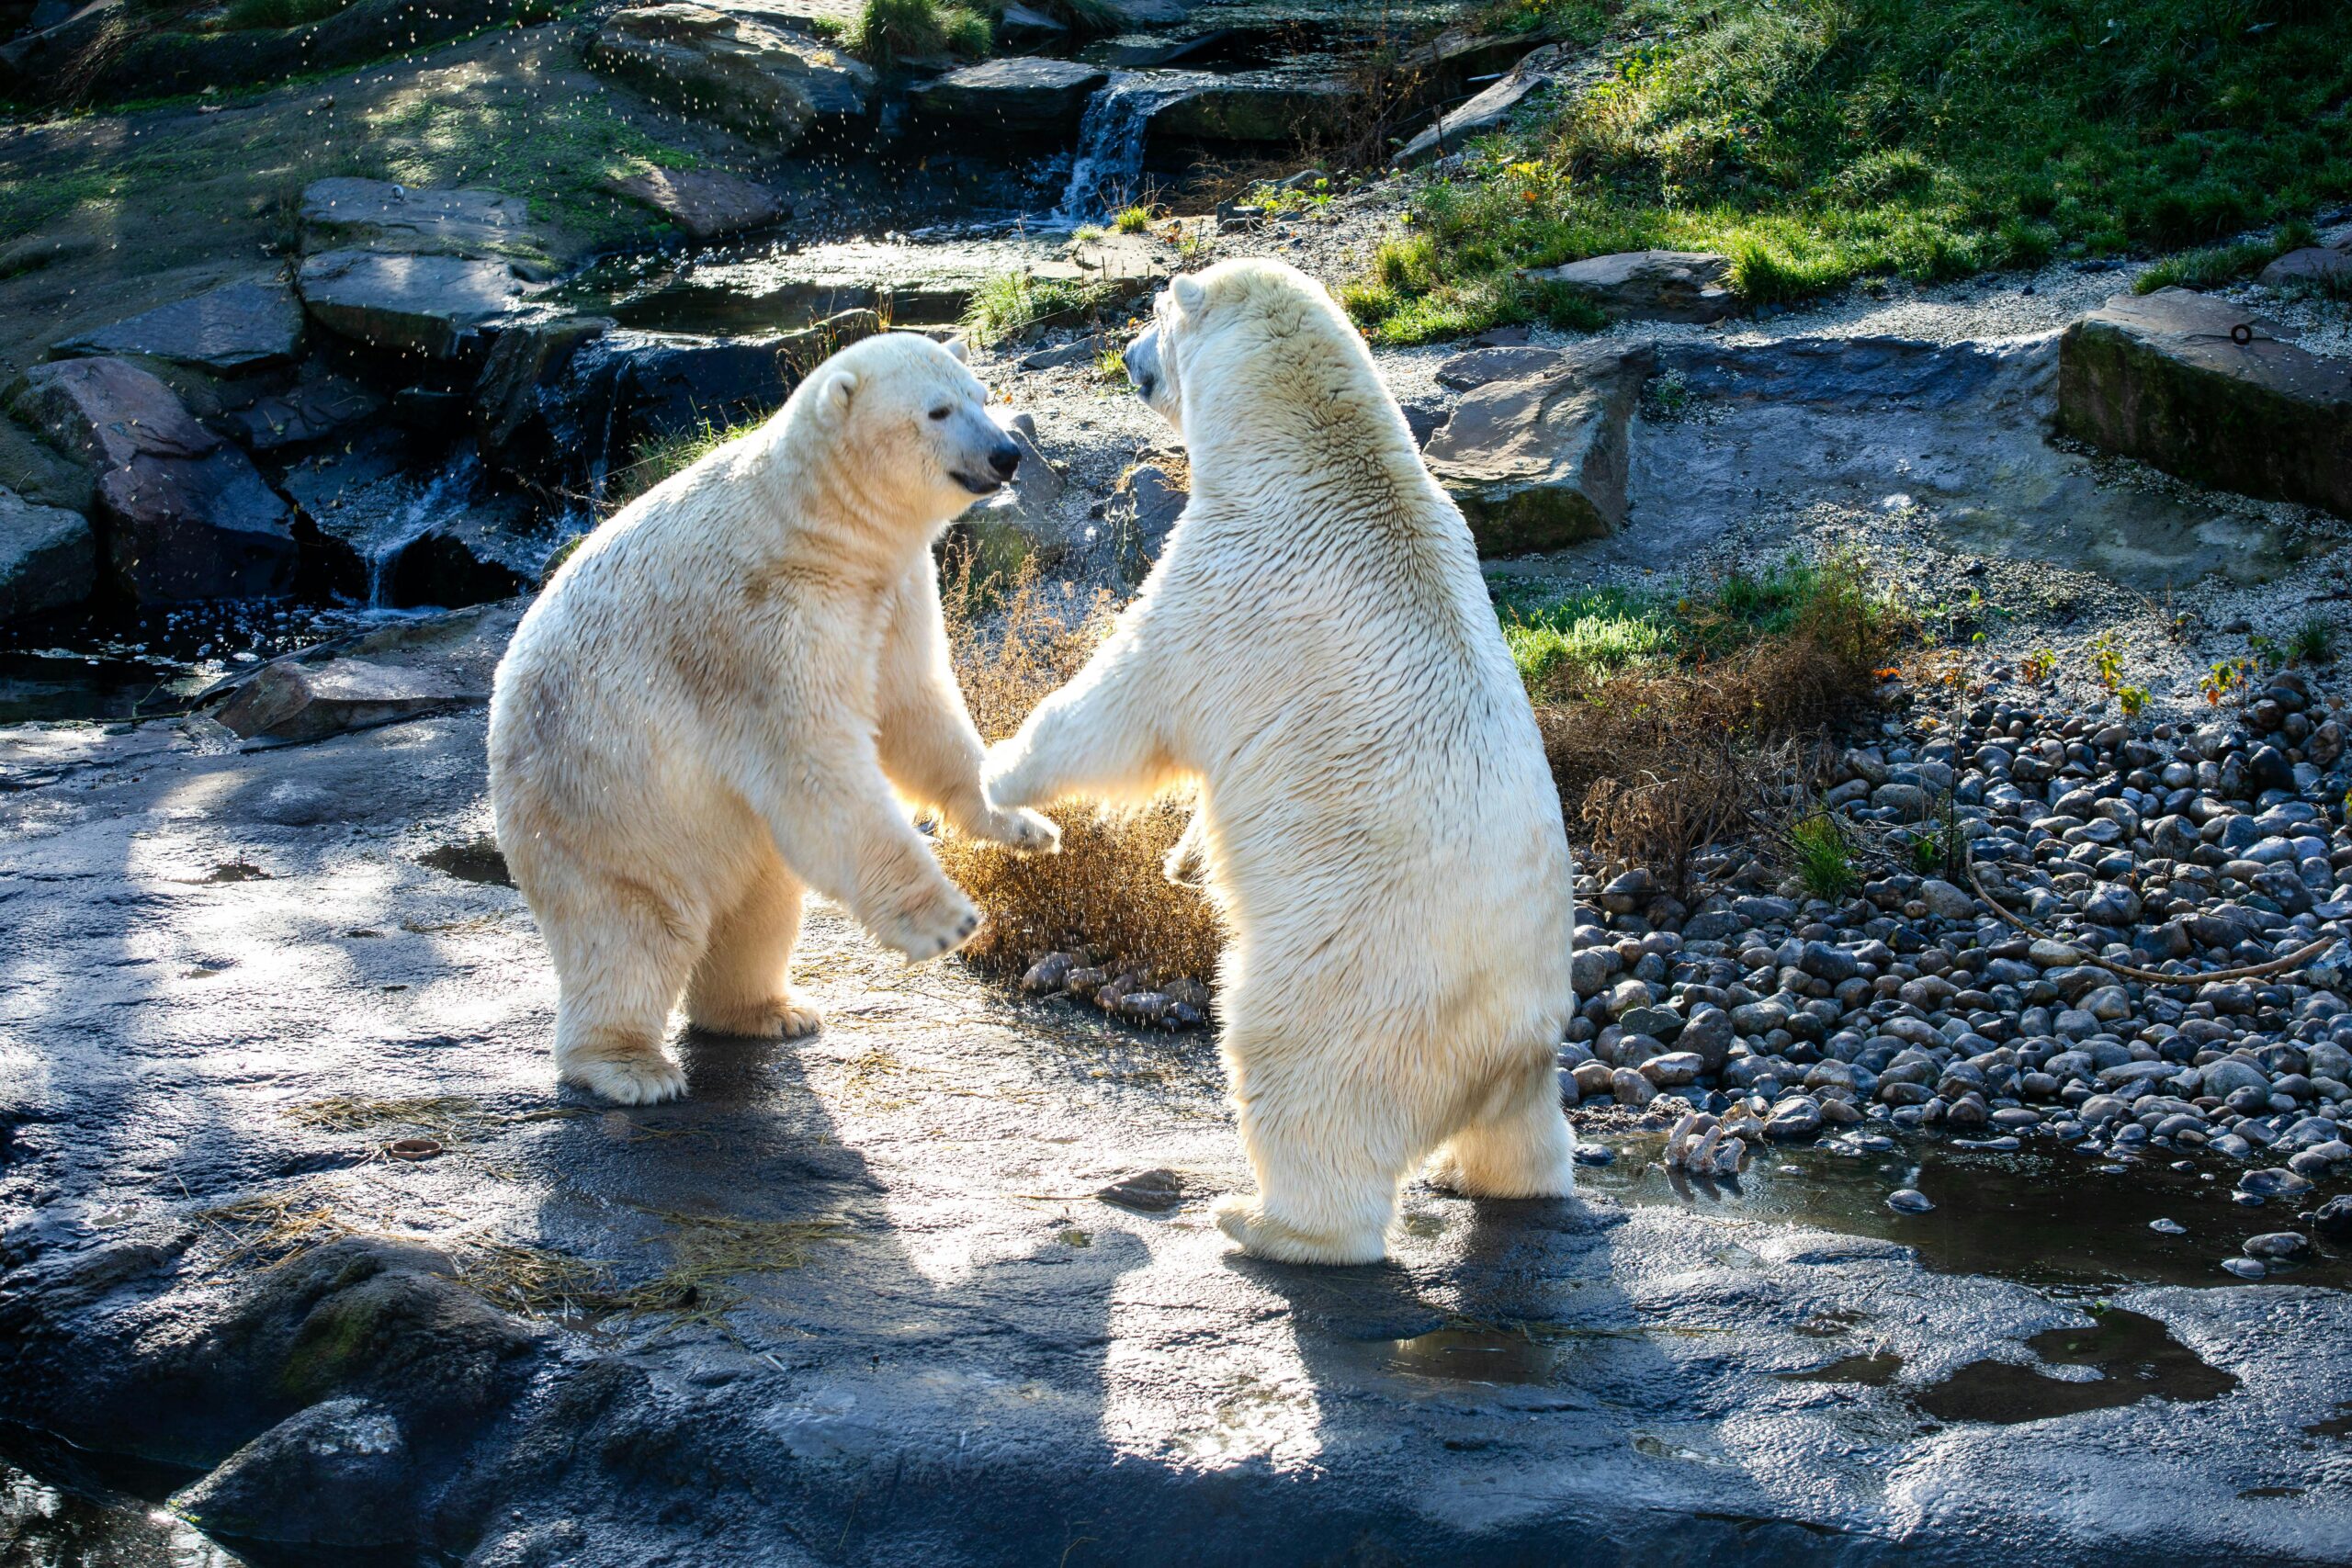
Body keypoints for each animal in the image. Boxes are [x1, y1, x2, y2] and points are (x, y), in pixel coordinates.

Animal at [492, 331, 1063, 1104]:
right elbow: (815, 762)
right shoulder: (763, 627)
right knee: (632, 929)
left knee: (760, 912)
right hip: (598, 803)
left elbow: (915, 709)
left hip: (716, 834)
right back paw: (632, 1065)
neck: (814, 523)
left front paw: (1026, 823)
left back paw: (771, 1011)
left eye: (980, 394)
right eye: (938, 410)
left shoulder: (892, 590)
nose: (1007, 453)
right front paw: (947, 919)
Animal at [983, 257, 1571, 1259]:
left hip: (1354, 984)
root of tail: (1504, 1047)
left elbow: (1124, 708)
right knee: (1524, 1135)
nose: (1125, 355)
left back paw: (1260, 1219)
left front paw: (994, 775)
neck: (1311, 453)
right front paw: (1182, 860)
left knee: (1297, 1078)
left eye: (1154, 315)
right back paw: (1482, 1174)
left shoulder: (1231, 576)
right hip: (1520, 1051)